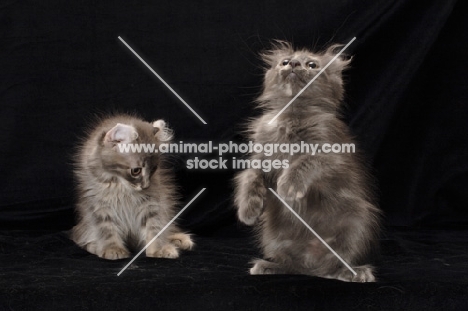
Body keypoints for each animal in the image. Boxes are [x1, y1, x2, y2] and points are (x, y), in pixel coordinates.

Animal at [71, 114, 192, 260]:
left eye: (153, 169)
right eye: (136, 171)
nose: (145, 185)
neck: (120, 186)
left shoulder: (151, 204)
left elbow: (155, 228)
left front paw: (158, 250)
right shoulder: (99, 207)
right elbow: (106, 230)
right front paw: (113, 249)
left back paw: (179, 239)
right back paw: (94, 246)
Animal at [236, 41, 382, 282]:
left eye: (312, 65)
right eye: (285, 61)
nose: (294, 64)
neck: (292, 116)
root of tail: (312, 265)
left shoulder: (333, 155)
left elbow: (306, 160)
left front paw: (288, 186)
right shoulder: (262, 156)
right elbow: (250, 176)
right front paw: (248, 208)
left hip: (357, 224)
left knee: (337, 262)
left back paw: (354, 272)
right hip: (272, 236)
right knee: (292, 265)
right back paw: (269, 266)